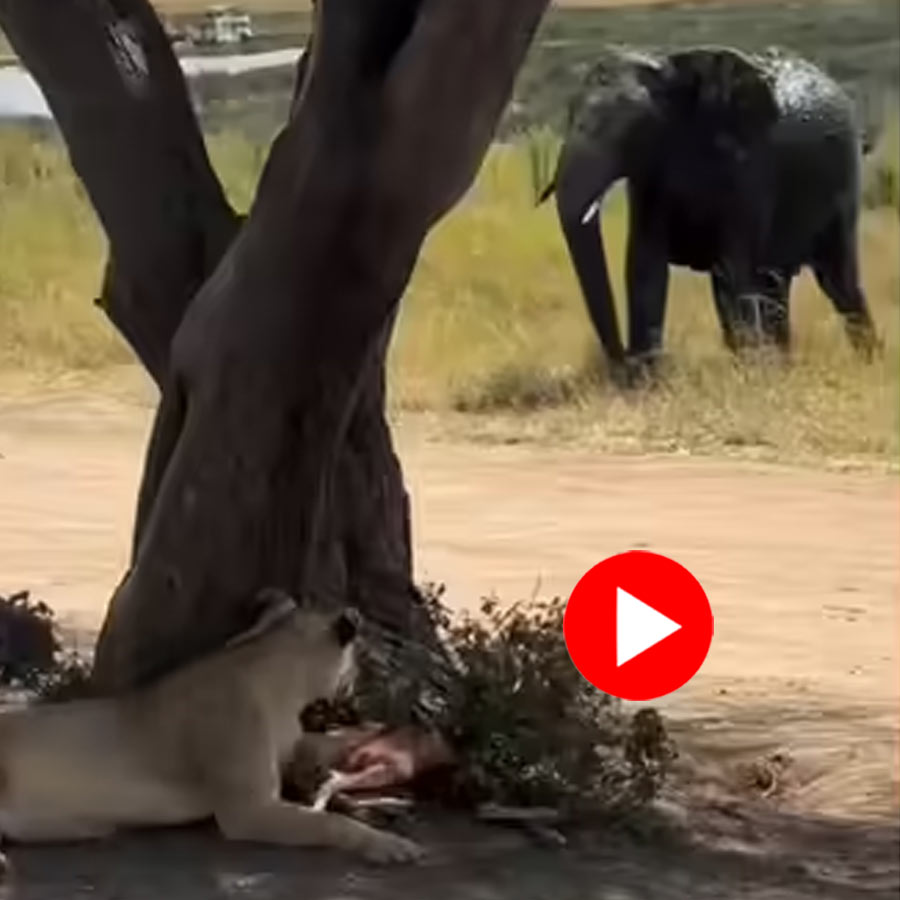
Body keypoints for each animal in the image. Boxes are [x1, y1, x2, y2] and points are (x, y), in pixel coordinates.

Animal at [0, 589, 423, 865]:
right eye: (361, 655)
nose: (357, 681)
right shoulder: (248, 810)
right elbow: (329, 822)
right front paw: (387, 844)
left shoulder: (291, 750)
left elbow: (326, 755)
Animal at [539, 45, 879, 382]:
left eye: (628, 129)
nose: (620, 365)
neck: (668, 71)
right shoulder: (649, 177)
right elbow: (645, 267)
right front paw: (646, 381)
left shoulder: (749, 168)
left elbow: (733, 270)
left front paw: (750, 377)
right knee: (777, 287)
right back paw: (785, 367)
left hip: (845, 184)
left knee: (838, 282)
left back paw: (865, 362)